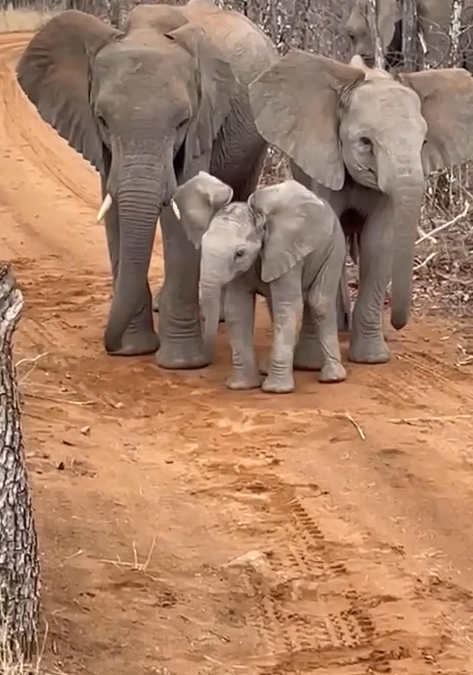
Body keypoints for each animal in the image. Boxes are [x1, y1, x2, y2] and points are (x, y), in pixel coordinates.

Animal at [15, 0, 276, 368]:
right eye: (102, 119)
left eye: (182, 121)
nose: (109, 345)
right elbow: (115, 214)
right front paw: (133, 350)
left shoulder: (201, 124)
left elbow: (182, 215)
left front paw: (181, 364)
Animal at [171, 172, 344, 394]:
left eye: (239, 253)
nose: (204, 362)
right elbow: (238, 308)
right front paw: (241, 386)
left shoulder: (284, 249)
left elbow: (287, 307)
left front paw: (276, 390)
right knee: (275, 307)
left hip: (334, 247)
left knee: (318, 301)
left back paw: (332, 377)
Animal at [251, 52, 473, 364]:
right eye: (365, 142)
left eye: (424, 142)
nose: (397, 323)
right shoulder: (326, 160)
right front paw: (314, 361)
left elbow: (380, 243)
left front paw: (372, 359)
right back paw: (339, 328)